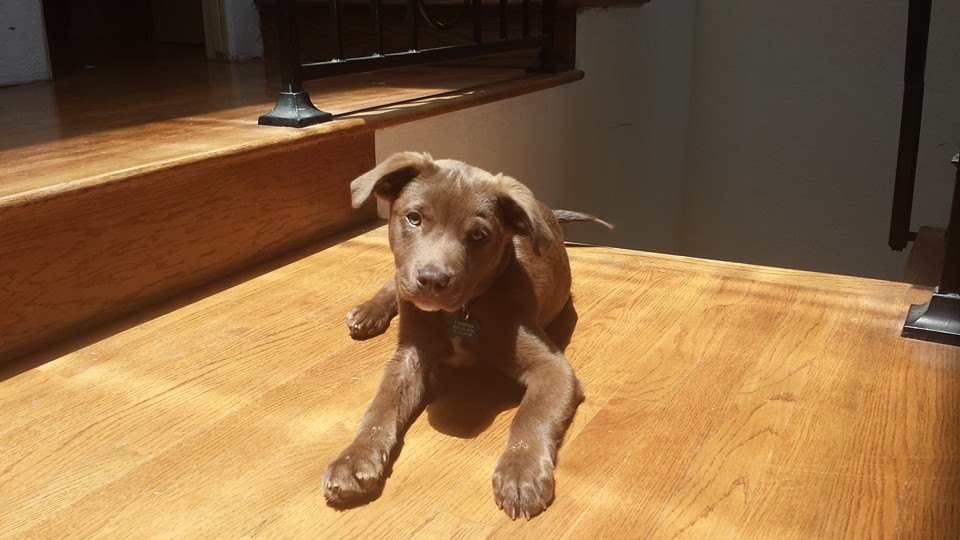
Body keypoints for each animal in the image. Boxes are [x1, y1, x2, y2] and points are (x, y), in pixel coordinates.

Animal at [322, 152, 611, 520]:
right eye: (414, 218)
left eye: (478, 235)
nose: (432, 279)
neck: (463, 310)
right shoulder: (410, 354)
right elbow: (381, 405)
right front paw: (354, 457)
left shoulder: (553, 368)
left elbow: (531, 416)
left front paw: (521, 472)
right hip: (402, 281)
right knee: (393, 282)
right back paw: (369, 311)